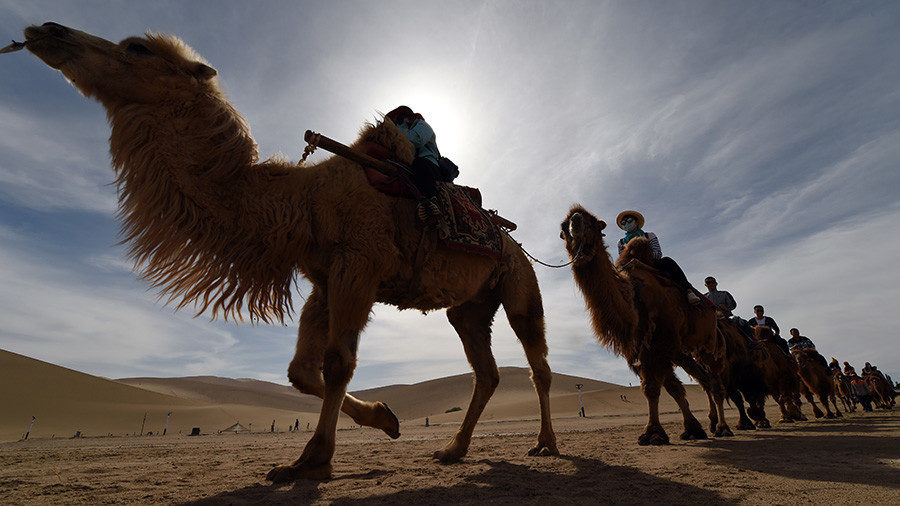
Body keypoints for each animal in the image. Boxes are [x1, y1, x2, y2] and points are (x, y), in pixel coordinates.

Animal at [18, 22, 558, 481]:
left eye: (136, 48)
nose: (47, 30)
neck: (303, 202)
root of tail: (511, 238)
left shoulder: (358, 266)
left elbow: (337, 362)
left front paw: (311, 461)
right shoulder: (325, 280)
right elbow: (301, 372)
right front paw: (385, 418)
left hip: (518, 283)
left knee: (538, 365)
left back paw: (545, 444)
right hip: (469, 306)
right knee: (486, 371)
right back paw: (453, 450)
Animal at [560, 206, 734, 445]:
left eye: (594, 222)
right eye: (564, 225)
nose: (575, 223)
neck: (634, 301)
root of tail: (713, 311)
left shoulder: (661, 345)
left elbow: (656, 388)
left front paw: (655, 432)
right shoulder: (645, 348)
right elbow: (667, 388)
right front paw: (689, 429)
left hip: (708, 344)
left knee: (716, 384)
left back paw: (724, 427)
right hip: (683, 351)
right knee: (704, 379)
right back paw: (712, 423)